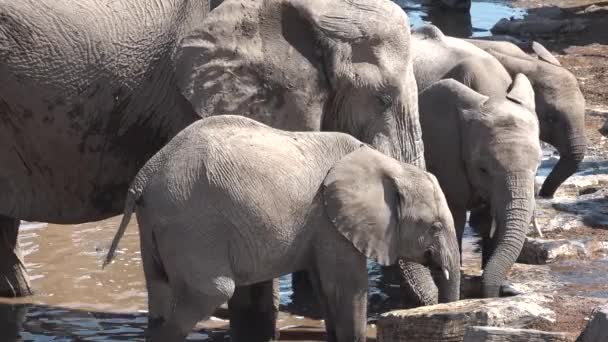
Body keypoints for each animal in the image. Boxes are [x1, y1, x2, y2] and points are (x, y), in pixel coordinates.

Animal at [103, 115, 460, 342]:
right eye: (435, 227)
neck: (390, 166)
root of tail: (145, 175)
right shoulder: (332, 223)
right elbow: (347, 288)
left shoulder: (321, 228)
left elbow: (325, 288)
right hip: (191, 225)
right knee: (211, 292)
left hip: (157, 223)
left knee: (159, 293)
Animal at [418, 75, 540, 300]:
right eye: (483, 169)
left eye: (538, 167)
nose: (490, 295)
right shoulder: (444, 158)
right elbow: (454, 218)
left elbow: (489, 221)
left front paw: (504, 288)